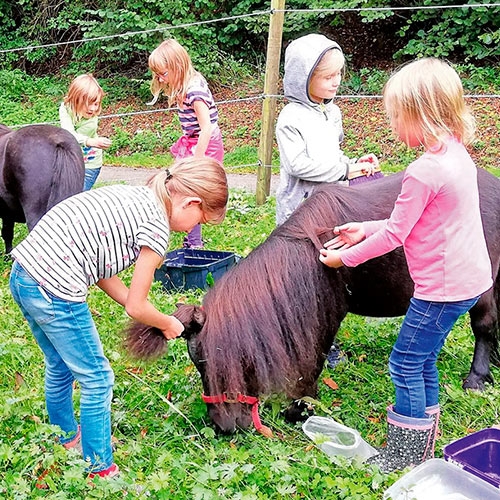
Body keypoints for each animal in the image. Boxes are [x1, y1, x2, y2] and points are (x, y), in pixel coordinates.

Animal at [126, 168, 500, 434]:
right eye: (199, 365)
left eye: (213, 364)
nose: (222, 428)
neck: (312, 254)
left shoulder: (322, 321)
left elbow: (311, 362)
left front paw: (300, 408)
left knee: (483, 326)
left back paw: (477, 379)